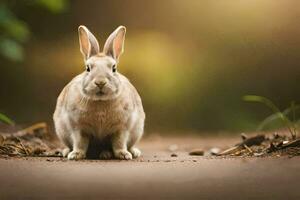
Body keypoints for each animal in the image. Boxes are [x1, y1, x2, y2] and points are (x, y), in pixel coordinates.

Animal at [53, 25, 145, 160]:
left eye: (114, 68)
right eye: (87, 68)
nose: (100, 82)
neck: (101, 101)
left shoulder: (121, 128)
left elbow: (119, 143)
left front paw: (124, 155)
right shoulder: (78, 128)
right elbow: (80, 142)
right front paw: (75, 155)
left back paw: (130, 152)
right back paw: (66, 151)